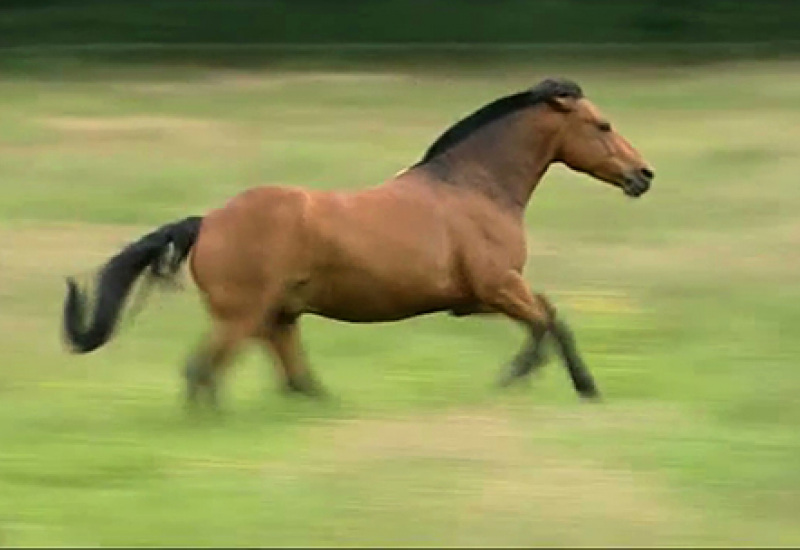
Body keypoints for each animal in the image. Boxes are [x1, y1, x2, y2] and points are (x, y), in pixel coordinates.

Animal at [62, 80, 652, 412]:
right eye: (603, 124)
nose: (643, 175)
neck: (473, 188)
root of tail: (206, 222)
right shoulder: (497, 286)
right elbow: (548, 321)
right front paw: (529, 379)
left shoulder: (474, 299)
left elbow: (549, 318)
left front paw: (575, 387)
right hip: (244, 316)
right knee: (204, 373)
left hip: (278, 316)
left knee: (293, 379)